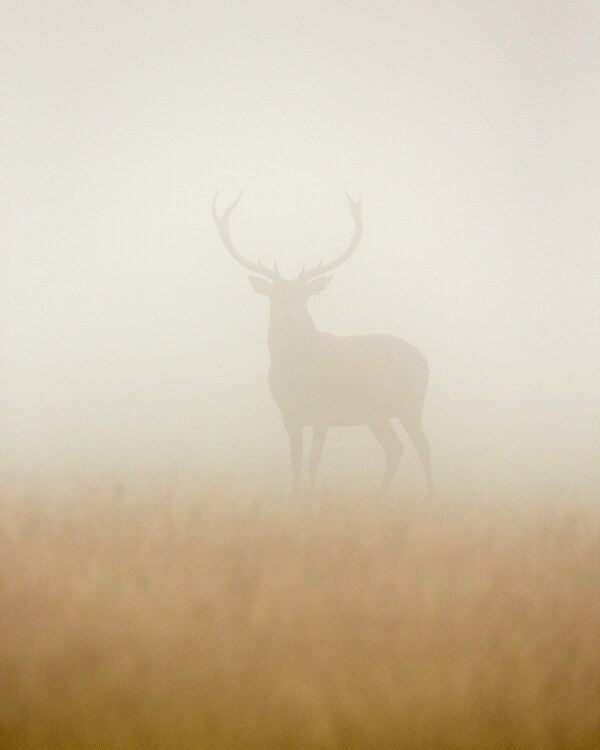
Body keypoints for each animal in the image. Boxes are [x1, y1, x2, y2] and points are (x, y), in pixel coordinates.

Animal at [212, 191, 433, 501]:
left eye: (305, 297)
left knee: (422, 446)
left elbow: (313, 461)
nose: (289, 316)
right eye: (274, 297)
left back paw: (432, 497)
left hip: (411, 402)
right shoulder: (289, 414)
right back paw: (379, 499)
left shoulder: (323, 412)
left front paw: (310, 501)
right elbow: (295, 460)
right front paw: (294, 500)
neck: (296, 376)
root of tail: (423, 358)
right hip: (375, 414)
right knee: (395, 447)